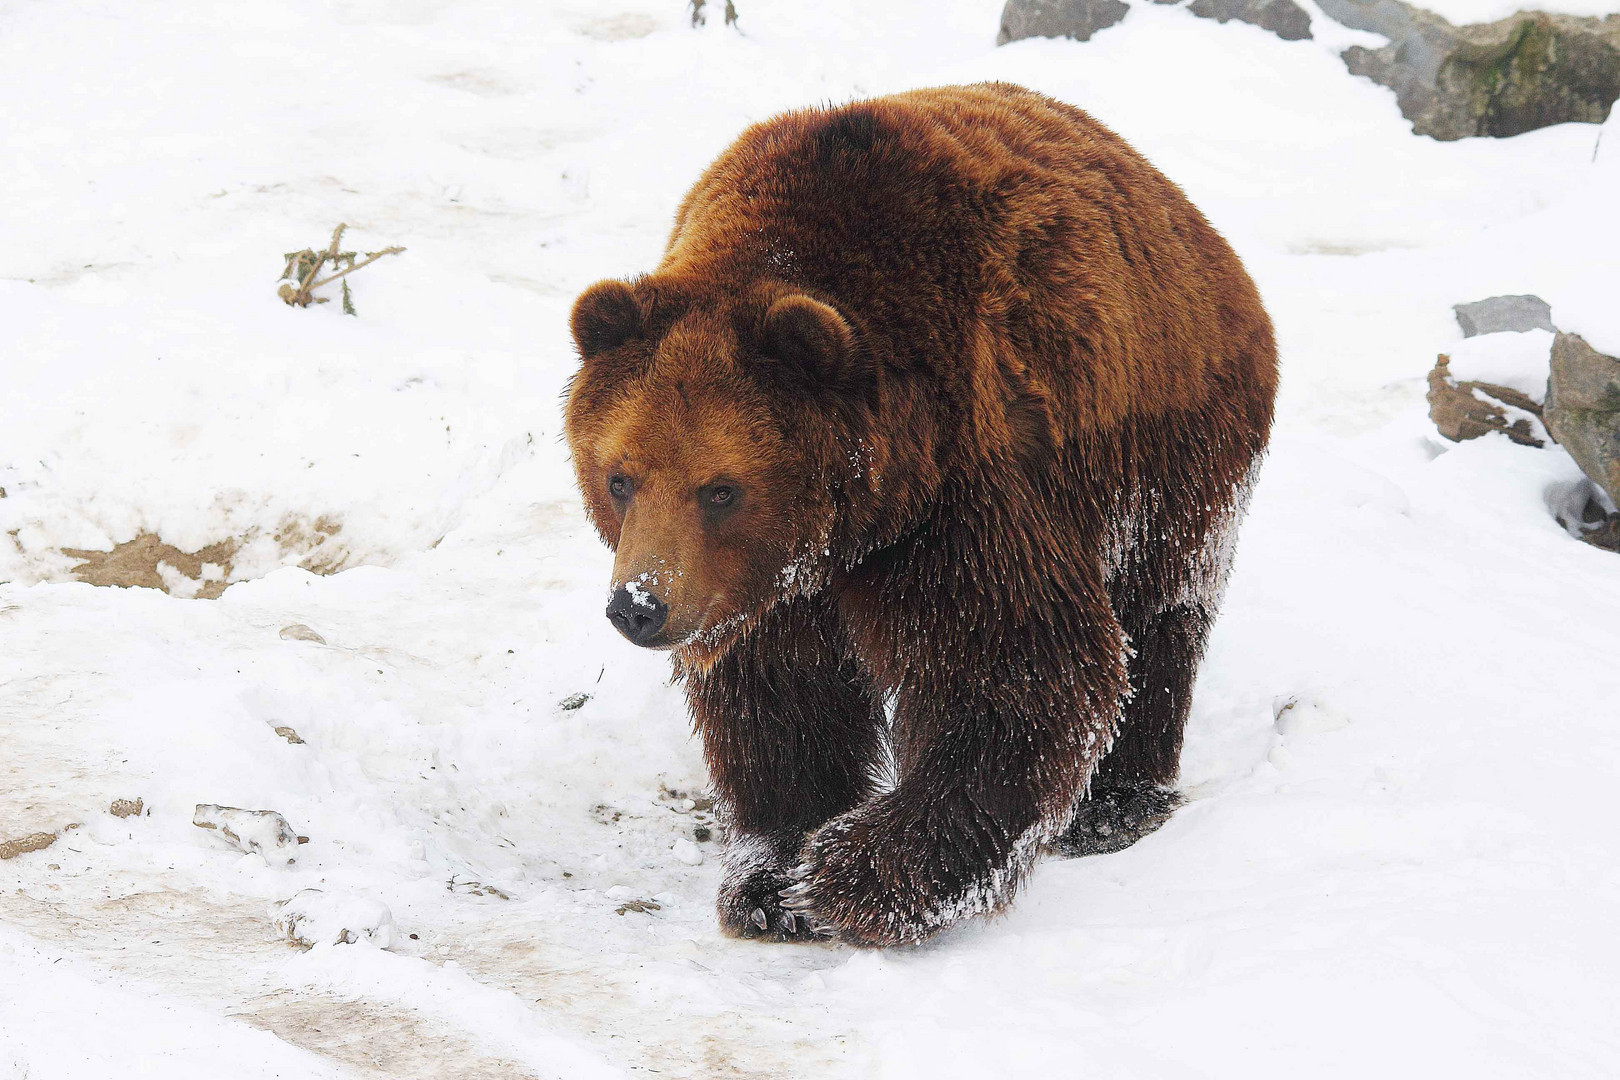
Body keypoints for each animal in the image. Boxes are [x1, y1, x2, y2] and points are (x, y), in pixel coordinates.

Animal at [563, 82, 1270, 945]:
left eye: (720, 488)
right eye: (620, 477)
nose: (639, 605)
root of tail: (1185, 212)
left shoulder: (958, 491)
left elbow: (1015, 670)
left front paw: (850, 873)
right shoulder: (762, 583)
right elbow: (780, 697)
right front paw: (769, 878)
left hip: (1165, 451)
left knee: (1161, 609)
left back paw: (1117, 805)